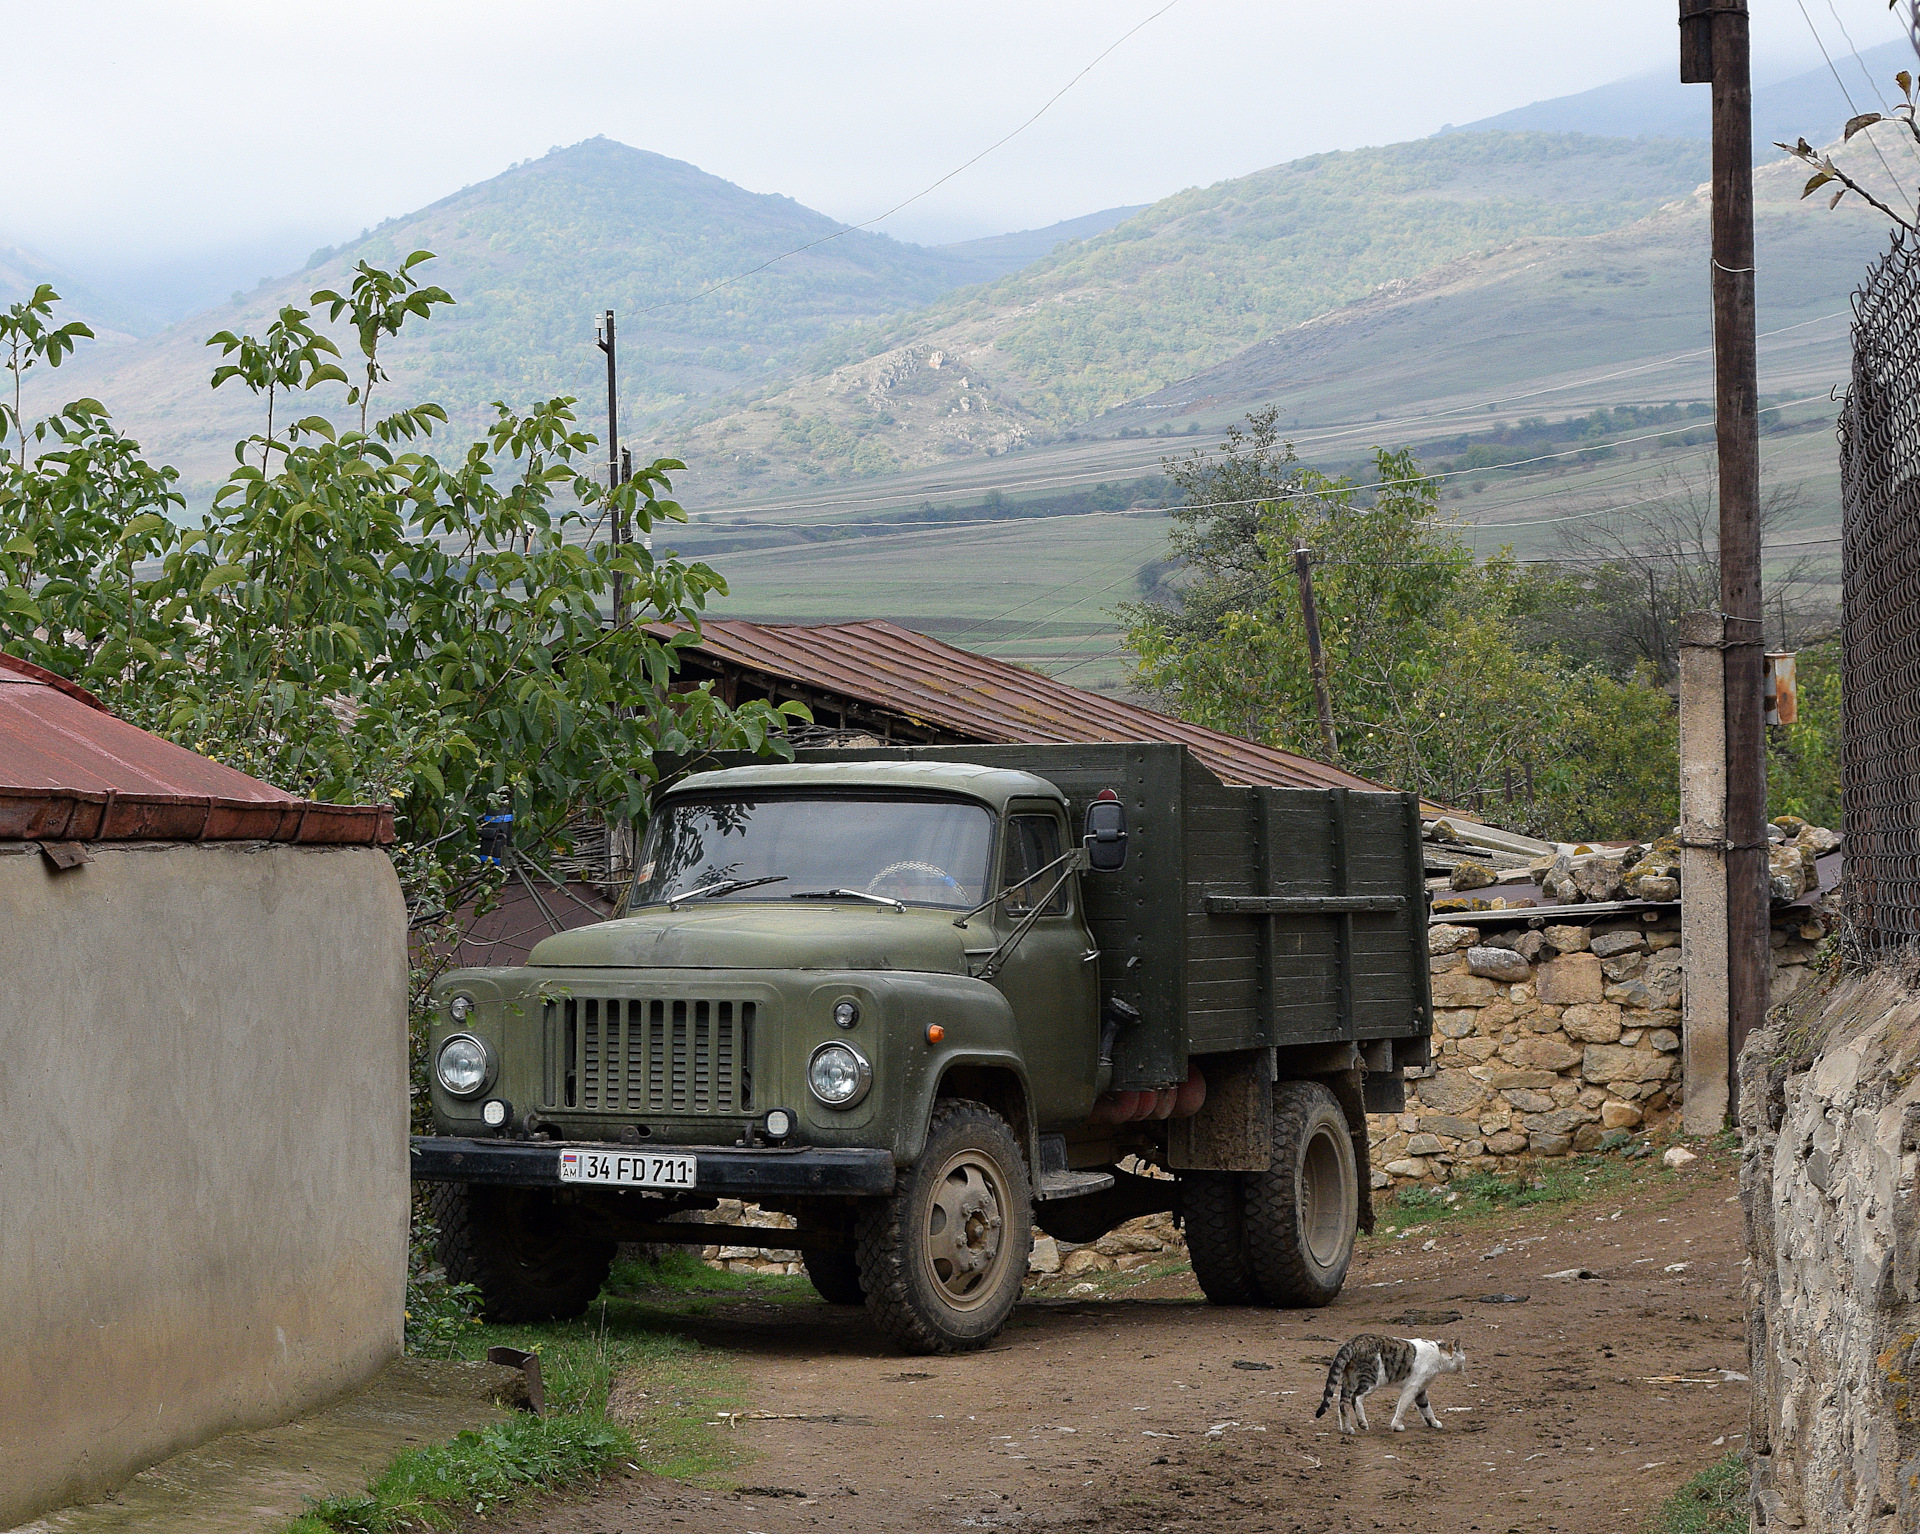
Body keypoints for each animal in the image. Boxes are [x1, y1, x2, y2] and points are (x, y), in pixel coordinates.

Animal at [1313, 1328, 1459, 1443]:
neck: (1438, 1353)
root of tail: (1352, 1342)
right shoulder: (1413, 1386)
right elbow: (1403, 1406)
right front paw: (1397, 1426)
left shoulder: (1421, 1389)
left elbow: (1425, 1407)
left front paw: (1433, 1423)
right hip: (1372, 1379)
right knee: (1356, 1397)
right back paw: (1362, 1423)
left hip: (1349, 1378)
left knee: (1343, 1402)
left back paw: (1347, 1429)